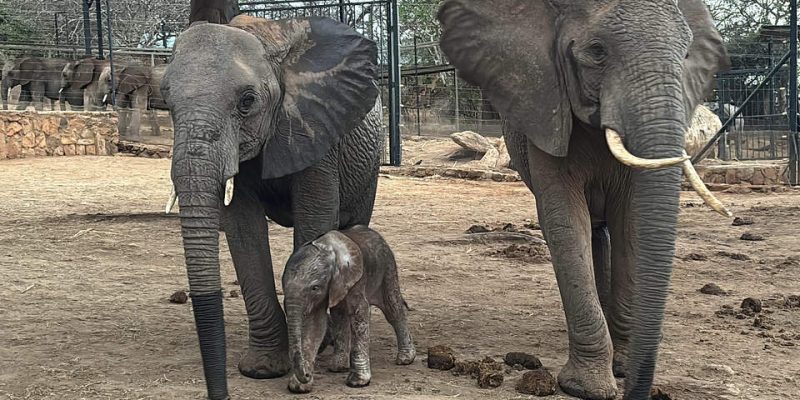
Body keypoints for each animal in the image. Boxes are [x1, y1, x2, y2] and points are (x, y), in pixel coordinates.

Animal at [161, 15, 383, 400]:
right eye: (166, 101)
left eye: (247, 101)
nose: (221, 394)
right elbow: (243, 229)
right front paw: (262, 368)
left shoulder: (316, 128)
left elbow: (315, 216)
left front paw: (312, 348)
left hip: (369, 164)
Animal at [282, 225, 416, 393]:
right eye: (283, 285)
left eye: (315, 287)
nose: (306, 374)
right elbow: (316, 324)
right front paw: (299, 386)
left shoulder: (356, 279)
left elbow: (360, 314)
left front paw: (358, 382)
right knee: (340, 315)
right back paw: (338, 367)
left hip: (387, 267)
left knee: (393, 309)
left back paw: (405, 359)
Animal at [438, 1, 730, 399]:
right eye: (597, 51)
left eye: (685, 54)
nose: (634, 389)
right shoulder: (546, 113)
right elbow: (564, 220)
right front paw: (587, 387)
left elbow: (631, 222)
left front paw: (621, 367)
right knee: (591, 232)